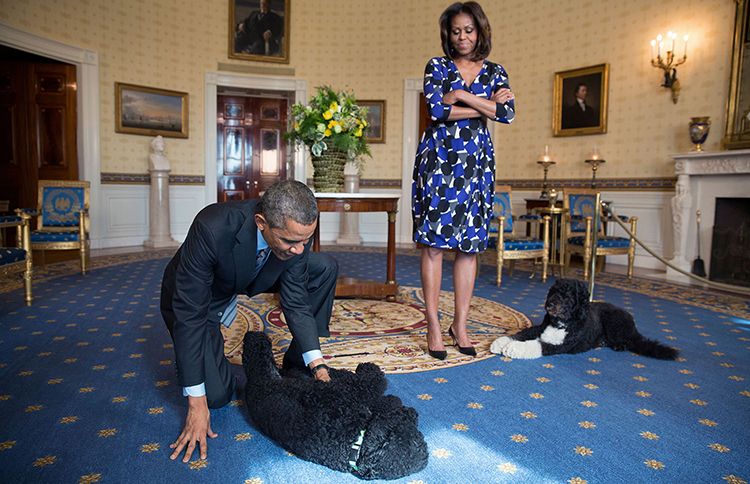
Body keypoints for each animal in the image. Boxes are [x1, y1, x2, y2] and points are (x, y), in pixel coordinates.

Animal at [242, 332, 428, 480]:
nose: (412, 412)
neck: (355, 444)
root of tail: (255, 385)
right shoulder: (345, 391)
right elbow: (365, 382)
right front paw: (370, 370)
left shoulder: (345, 393)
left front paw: (389, 398)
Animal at [494, 278, 680, 362]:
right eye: (553, 291)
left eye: (567, 297)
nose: (550, 304)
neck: (560, 323)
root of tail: (631, 321)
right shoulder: (540, 328)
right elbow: (523, 333)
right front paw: (501, 342)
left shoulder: (561, 345)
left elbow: (536, 344)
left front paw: (514, 348)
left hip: (614, 324)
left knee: (630, 342)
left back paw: (618, 345)